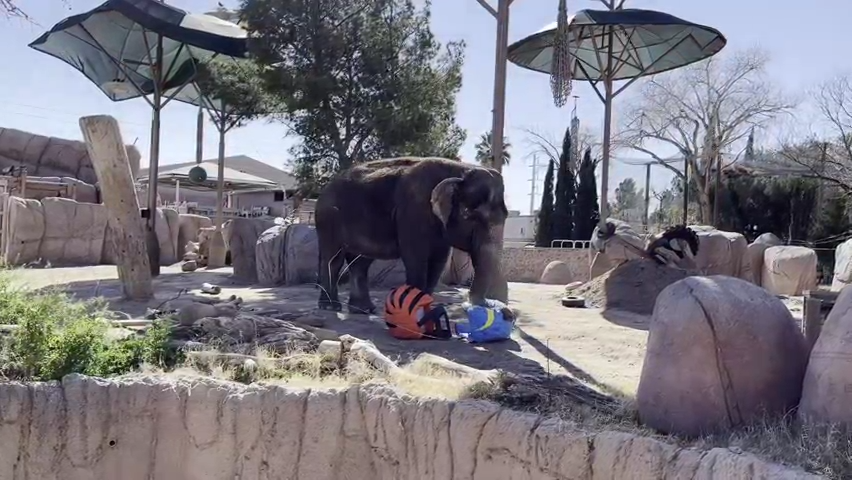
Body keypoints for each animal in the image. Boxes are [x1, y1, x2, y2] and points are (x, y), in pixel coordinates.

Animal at [314, 157, 509, 313]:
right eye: (470, 215)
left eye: (505, 216)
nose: (482, 304)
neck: (461, 168)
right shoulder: (413, 211)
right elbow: (416, 257)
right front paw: (416, 310)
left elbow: (438, 261)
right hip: (328, 217)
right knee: (333, 259)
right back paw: (330, 307)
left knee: (360, 263)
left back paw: (363, 310)